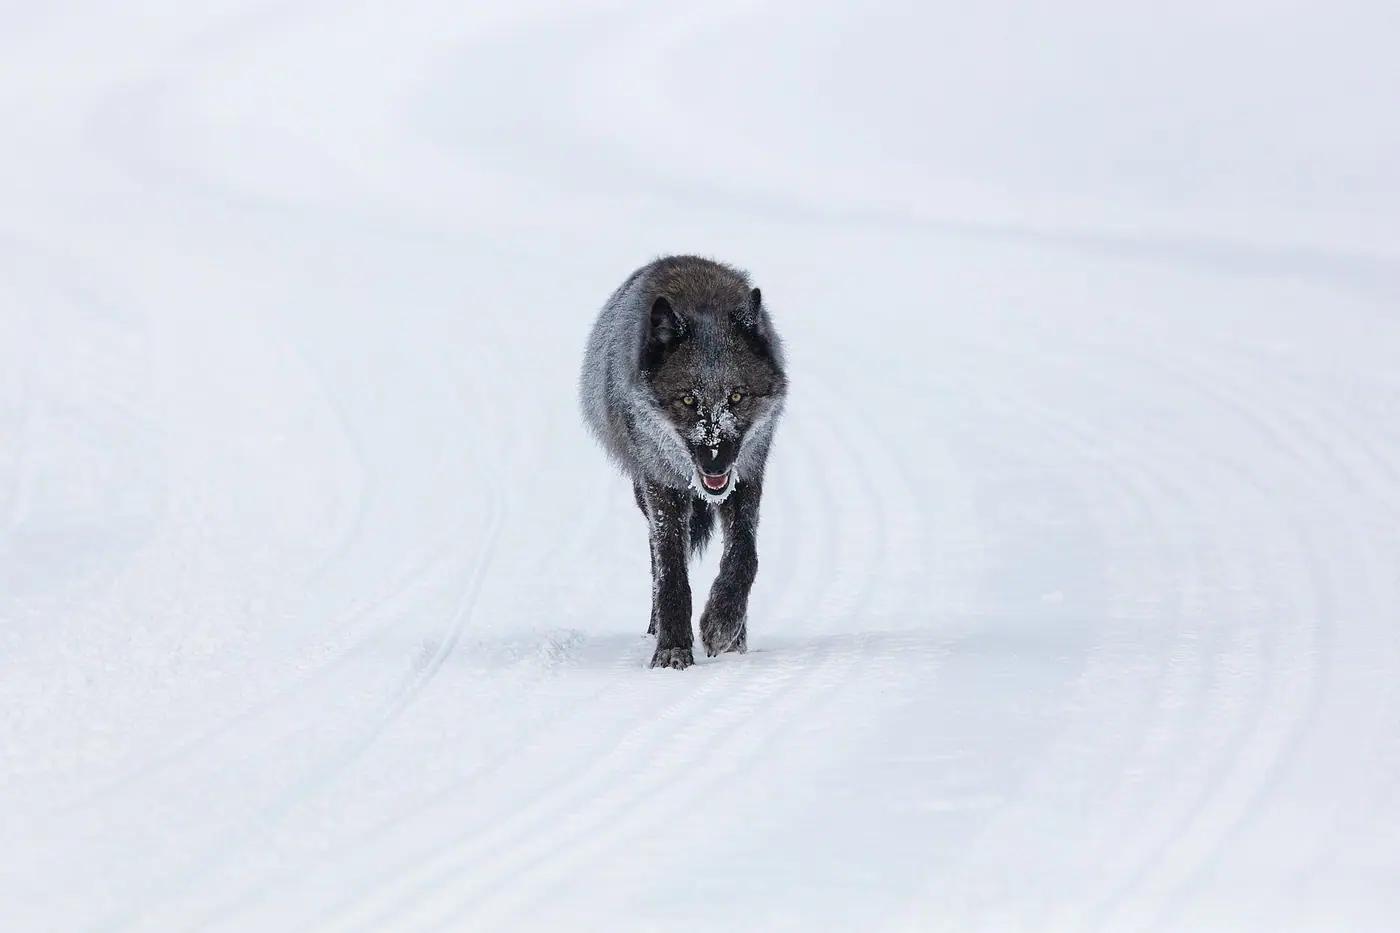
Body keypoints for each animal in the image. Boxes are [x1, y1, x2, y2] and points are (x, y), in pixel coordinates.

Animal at [580, 256, 788, 669]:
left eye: (737, 397)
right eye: (689, 400)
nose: (714, 461)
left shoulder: (747, 477)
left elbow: (744, 556)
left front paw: (723, 626)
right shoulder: (662, 488)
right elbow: (671, 570)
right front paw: (673, 647)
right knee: (654, 557)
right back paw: (655, 626)